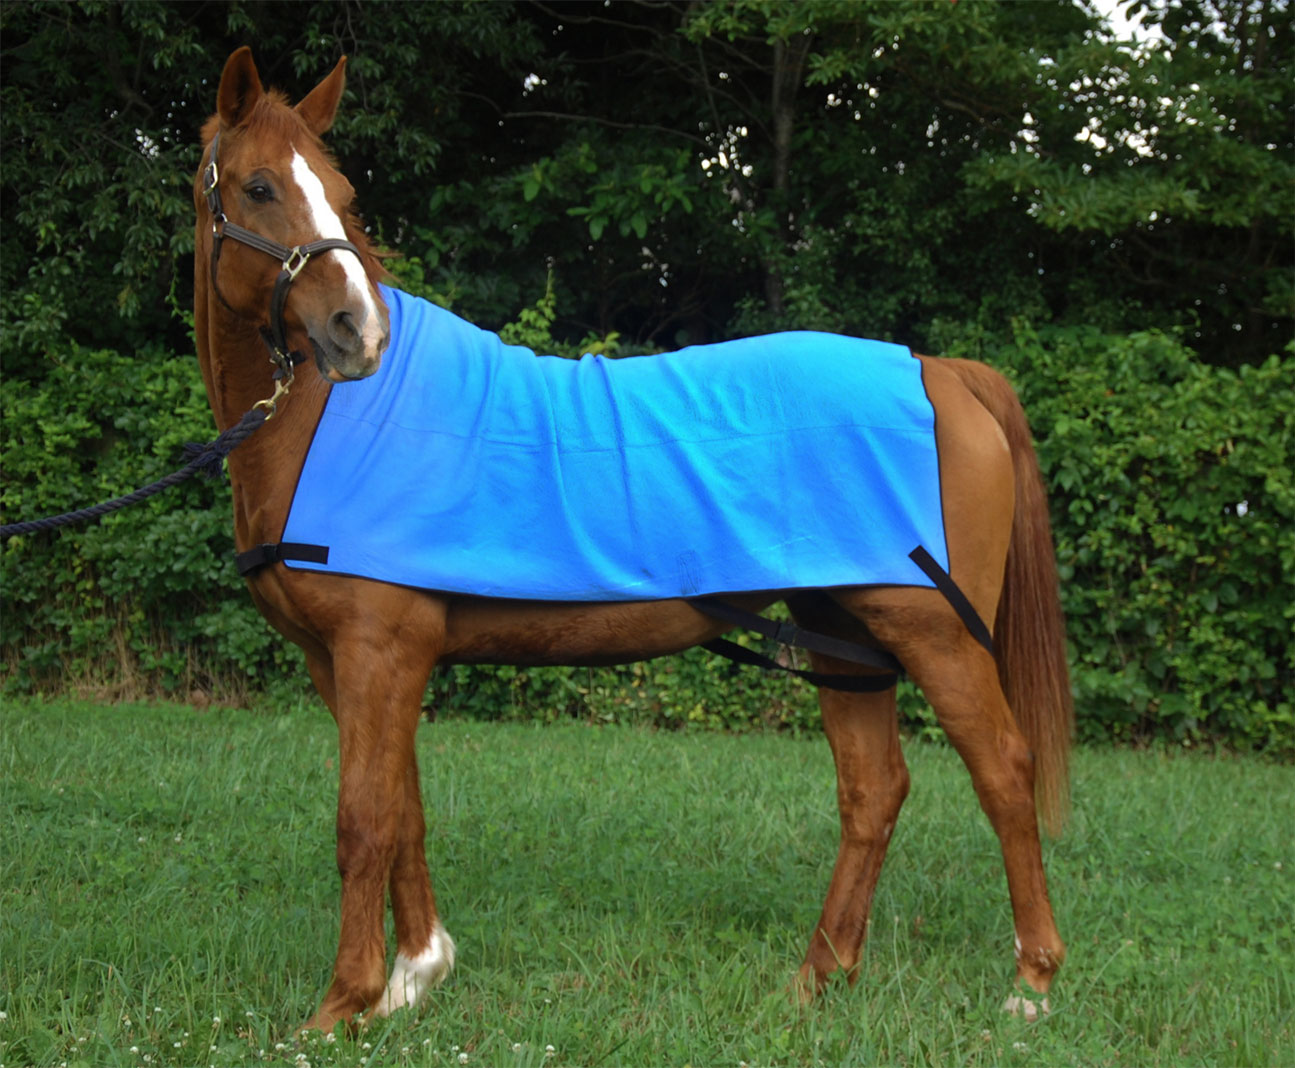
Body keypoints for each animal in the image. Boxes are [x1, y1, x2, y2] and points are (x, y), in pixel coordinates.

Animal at [194, 47, 1071, 1032]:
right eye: (260, 186)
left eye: (340, 191)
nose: (359, 332)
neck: (331, 424)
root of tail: (938, 371)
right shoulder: (352, 662)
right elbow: (402, 808)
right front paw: (413, 976)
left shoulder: (380, 649)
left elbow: (362, 820)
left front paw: (341, 1005)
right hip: (843, 633)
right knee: (872, 789)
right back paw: (817, 977)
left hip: (936, 632)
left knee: (1003, 773)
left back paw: (1031, 981)